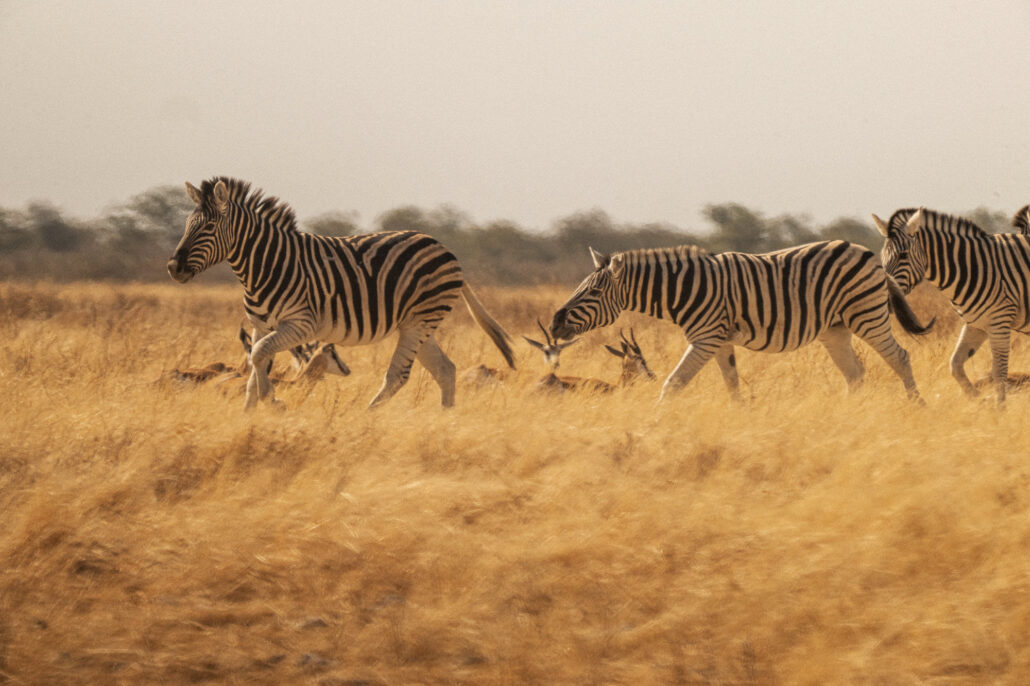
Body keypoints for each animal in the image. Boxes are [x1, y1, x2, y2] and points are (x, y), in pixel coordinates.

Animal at [167, 177, 516, 409]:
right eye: (187, 224)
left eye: (208, 227)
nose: (173, 266)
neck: (265, 265)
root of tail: (446, 250)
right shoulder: (260, 325)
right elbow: (255, 365)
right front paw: (250, 416)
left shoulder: (301, 324)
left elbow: (257, 356)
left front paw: (274, 401)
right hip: (418, 325)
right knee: (445, 370)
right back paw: (445, 420)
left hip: (420, 320)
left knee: (398, 376)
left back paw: (368, 417)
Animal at [548, 242, 932, 401]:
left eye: (594, 291)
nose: (554, 324)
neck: (685, 289)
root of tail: (867, 253)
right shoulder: (720, 341)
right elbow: (732, 385)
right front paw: (738, 419)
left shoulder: (705, 338)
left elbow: (672, 384)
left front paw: (654, 424)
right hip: (834, 329)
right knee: (855, 375)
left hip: (866, 315)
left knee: (900, 357)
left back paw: (917, 406)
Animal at [872, 206, 1030, 402]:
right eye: (881, 257)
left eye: (903, 256)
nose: (885, 298)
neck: (974, 267)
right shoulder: (977, 324)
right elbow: (955, 365)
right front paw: (978, 400)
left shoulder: (1000, 321)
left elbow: (999, 374)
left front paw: (998, 407)